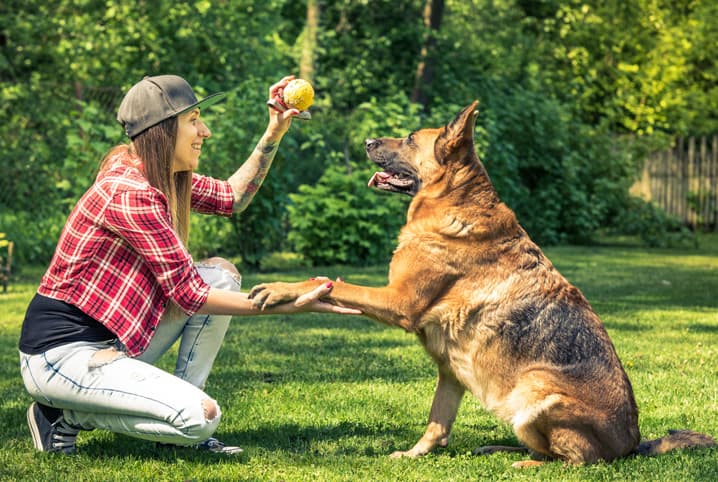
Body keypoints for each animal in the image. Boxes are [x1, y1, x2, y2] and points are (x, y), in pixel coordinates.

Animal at [252, 101, 716, 466]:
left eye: (408, 138)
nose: (366, 141)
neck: (452, 202)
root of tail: (633, 444)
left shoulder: (398, 302)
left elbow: (328, 281)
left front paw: (280, 287)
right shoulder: (450, 369)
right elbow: (437, 423)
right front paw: (415, 454)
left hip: (532, 393)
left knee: (577, 460)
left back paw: (528, 463)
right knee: (547, 450)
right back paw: (502, 449)